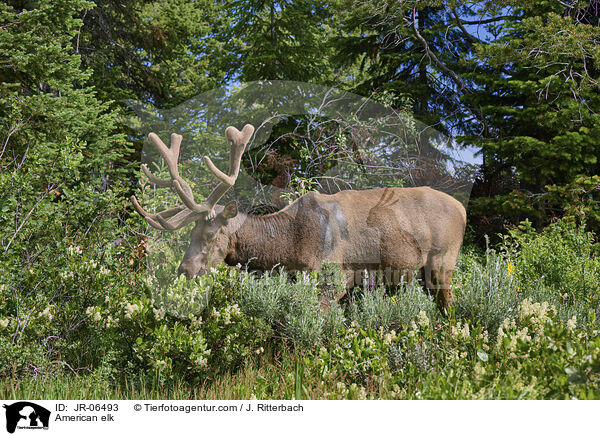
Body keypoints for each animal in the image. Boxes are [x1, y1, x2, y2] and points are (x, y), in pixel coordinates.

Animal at [131, 124, 468, 312]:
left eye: (211, 234)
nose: (184, 270)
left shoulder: (334, 275)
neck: (289, 243)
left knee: (450, 306)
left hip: (443, 260)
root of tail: (463, 209)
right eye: (190, 233)